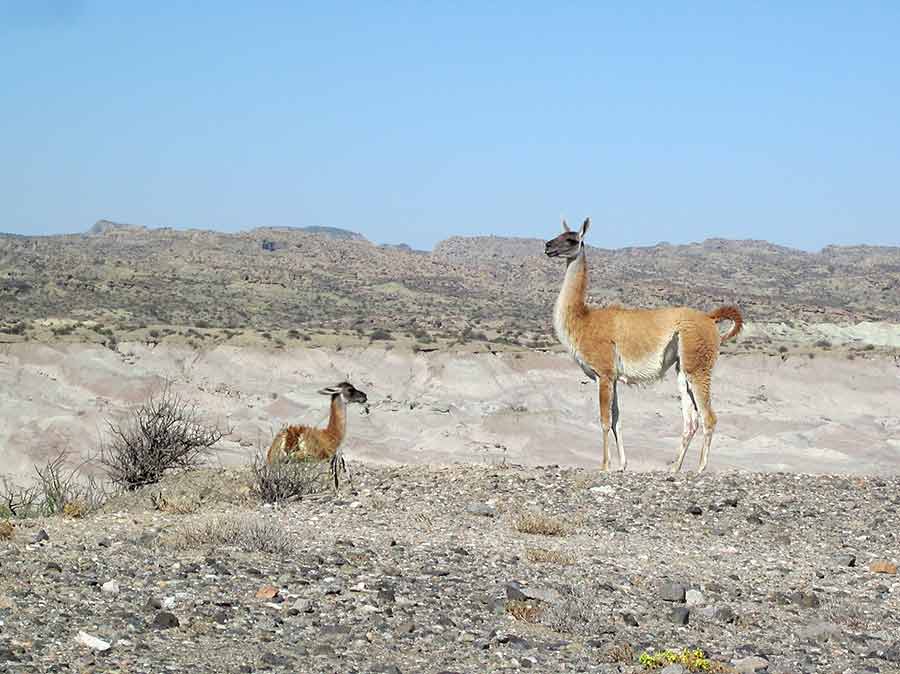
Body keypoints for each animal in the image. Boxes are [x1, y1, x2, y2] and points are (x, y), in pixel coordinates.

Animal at [544, 217, 743, 473]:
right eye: (558, 234)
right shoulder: (613, 377)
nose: (548, 246)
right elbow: (617, 420)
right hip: (683, 369)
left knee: (709, 417)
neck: (583, 320)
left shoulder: (604, 373)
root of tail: (710, 318)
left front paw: (605, 465)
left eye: (571, 239)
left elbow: (604, 420)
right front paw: (622, 465)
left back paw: (700, 468)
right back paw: (675, 468)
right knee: (691, 421)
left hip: (698, 366)